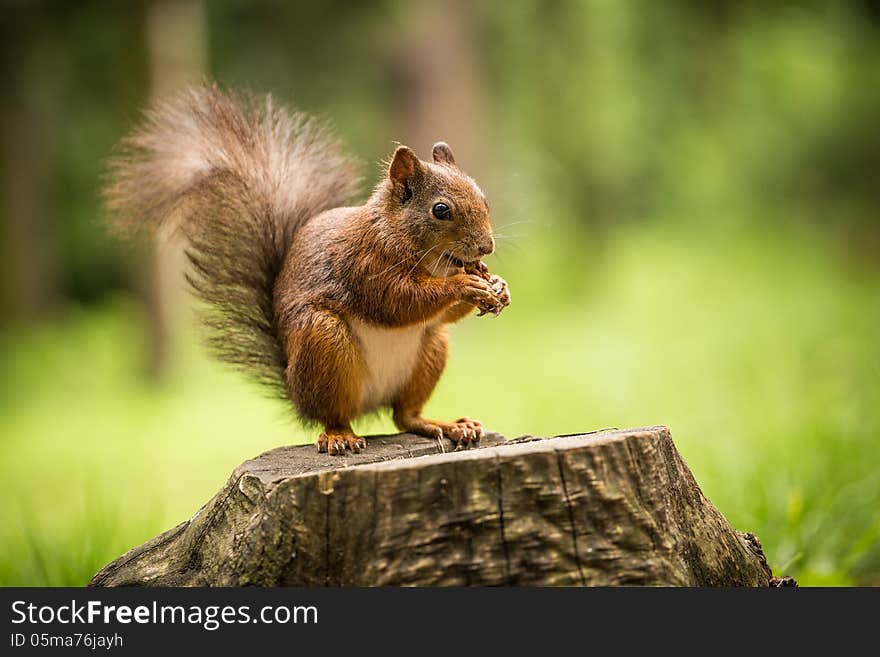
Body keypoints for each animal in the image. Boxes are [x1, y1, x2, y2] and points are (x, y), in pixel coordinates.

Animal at [105, 86, 508, 456]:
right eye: (441, 210)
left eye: (484, 198)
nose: (486, 247)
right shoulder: (363, 266)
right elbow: (397, 302)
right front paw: (465, 285)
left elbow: (440, 312)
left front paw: (498, 286)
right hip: (323, 341)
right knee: (334, 414)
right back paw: (340, 436)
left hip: (431, 346)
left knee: (404, 414)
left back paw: (447, 425)